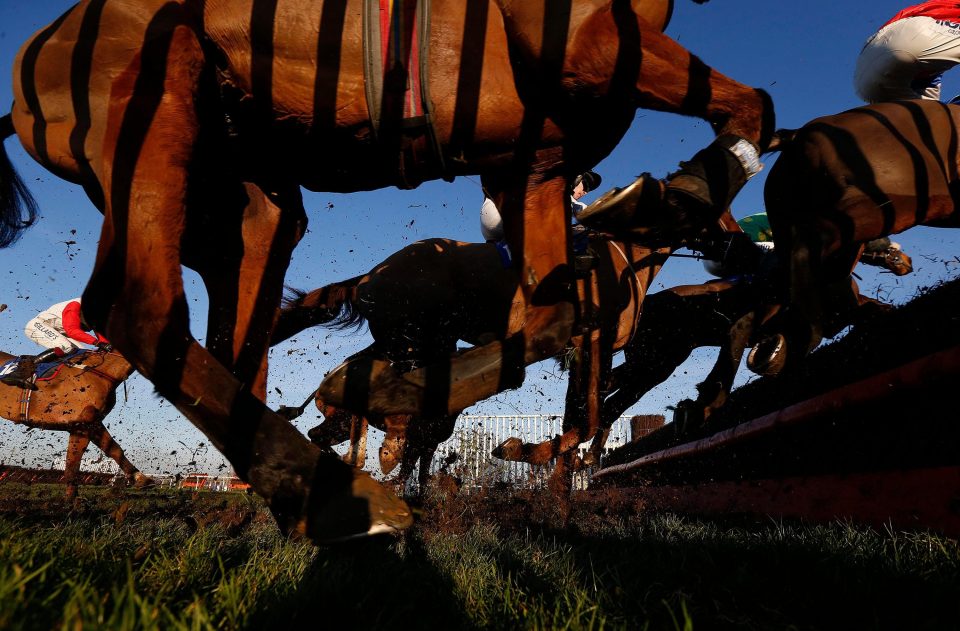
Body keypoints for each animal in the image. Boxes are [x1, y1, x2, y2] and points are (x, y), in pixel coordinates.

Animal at [0, 350, 150, 498]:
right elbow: (74, 463)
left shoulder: (89, 424)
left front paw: (140, 478)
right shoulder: (82, 424)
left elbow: (113, 450)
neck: (98, 373)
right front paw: (71, 502)